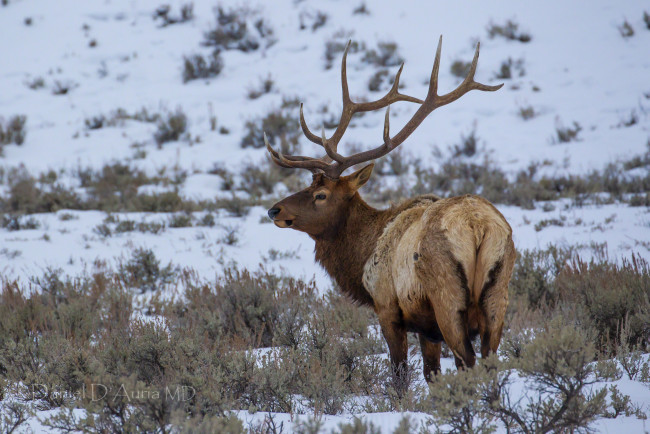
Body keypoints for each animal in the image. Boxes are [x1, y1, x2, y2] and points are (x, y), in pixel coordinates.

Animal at [266, 37, 512, 384]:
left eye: (321, 194)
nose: (274, 210)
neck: (361, 255)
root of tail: (478, 228)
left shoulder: (388, 309)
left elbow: (400, 378)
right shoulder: (428, 329)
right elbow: (432, 374)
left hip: (448, 298)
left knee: (468, 362)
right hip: (498, 297)